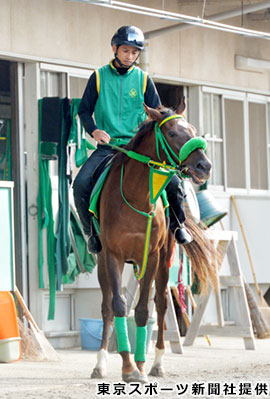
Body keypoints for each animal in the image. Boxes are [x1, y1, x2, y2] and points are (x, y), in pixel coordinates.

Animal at [90, 101, 217, 382]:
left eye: (193, 130)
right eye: (172, 133)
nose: (204, 165)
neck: (137, 196)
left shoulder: (151, 255)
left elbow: (142, 311)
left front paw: (139, 365)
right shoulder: (112, 255)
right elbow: (117, 305)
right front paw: (127, 367)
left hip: (165, 257)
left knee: (160, 303)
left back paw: (157, 363)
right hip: (103, 259)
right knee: (105, 306)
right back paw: (100, 364)